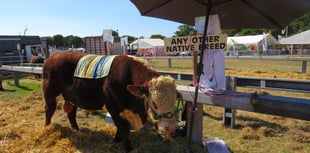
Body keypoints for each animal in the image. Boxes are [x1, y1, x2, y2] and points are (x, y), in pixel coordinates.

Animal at [41, 51, 177, 152]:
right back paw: (47, 127)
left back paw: (76, 130)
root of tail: (53, 56)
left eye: (174, 101)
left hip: (72, 98)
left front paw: (116, 140)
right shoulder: (113, 107)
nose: (170, 128)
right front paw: (128, 148)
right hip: (50, 94)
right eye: (154, 102)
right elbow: (123, 129)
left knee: (71, 113)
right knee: (49, 109)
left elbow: (120, 128)